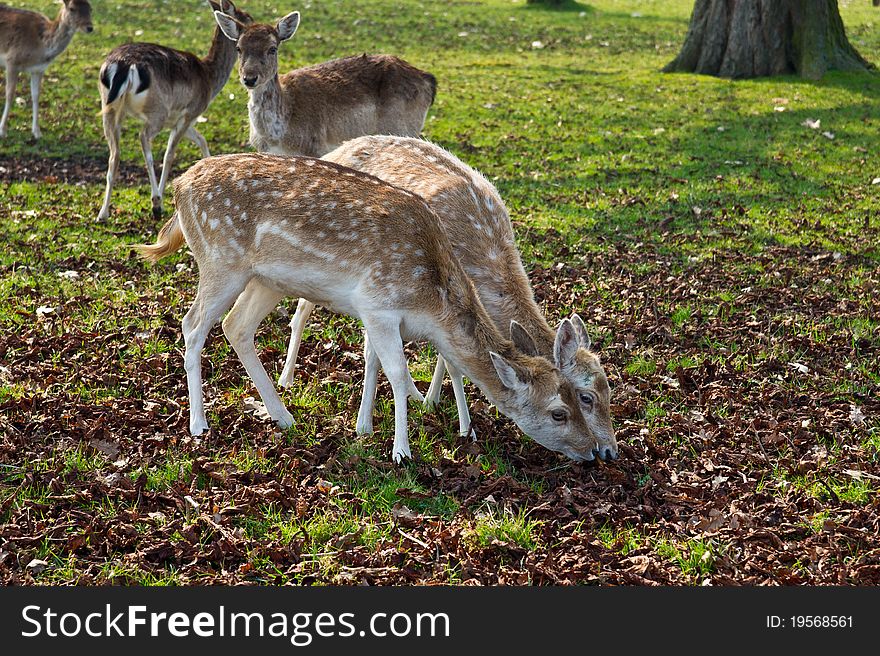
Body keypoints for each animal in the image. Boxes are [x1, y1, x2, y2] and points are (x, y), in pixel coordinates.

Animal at [0, 0, 93, 140]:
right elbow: (10, 94)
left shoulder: (38, 69)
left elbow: (36, 95)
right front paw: (3, 131)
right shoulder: (11, 61)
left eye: (90, 9)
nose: (89, 27)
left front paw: (37, 132)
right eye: (72, 8)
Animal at [97, 0, 254, 222]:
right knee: (143, 137)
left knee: (114, 154)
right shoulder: (189, 113)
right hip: (157, 111)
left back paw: (103, 213)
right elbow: (169, 155)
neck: (209, 79)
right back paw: (156, 202)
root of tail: (124, 65)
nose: (256, 27)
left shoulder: (181, 120)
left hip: (109, 108)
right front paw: (161, 199)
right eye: (248, 18)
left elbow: (202, 140)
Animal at [138, 153, 600, 464]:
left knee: (236, 326)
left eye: (579, 399)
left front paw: (449, 428)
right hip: (220, 260)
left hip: (266, 280)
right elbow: (396, 372)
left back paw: (283, 417)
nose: (595, 452)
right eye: (560, 412)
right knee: (193, 324)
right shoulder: (378, 304)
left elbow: (421, 363)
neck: (431, 299)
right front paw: (401, 450)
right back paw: (199, 424)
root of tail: (179, 188)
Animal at [211, 10, 434, 156]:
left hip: (402, 128)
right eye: (239, 48)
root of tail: (428, 80)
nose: (249, 78)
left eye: (272, 48)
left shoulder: (316, 149)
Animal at [282, 136, 620, 458]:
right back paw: (287, 379)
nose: (608, 451)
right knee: (303, 311)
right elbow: (444, 360)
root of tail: (337, 150)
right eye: (585, 397)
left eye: (609, 390)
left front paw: (433, 403)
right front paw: (444, 413)